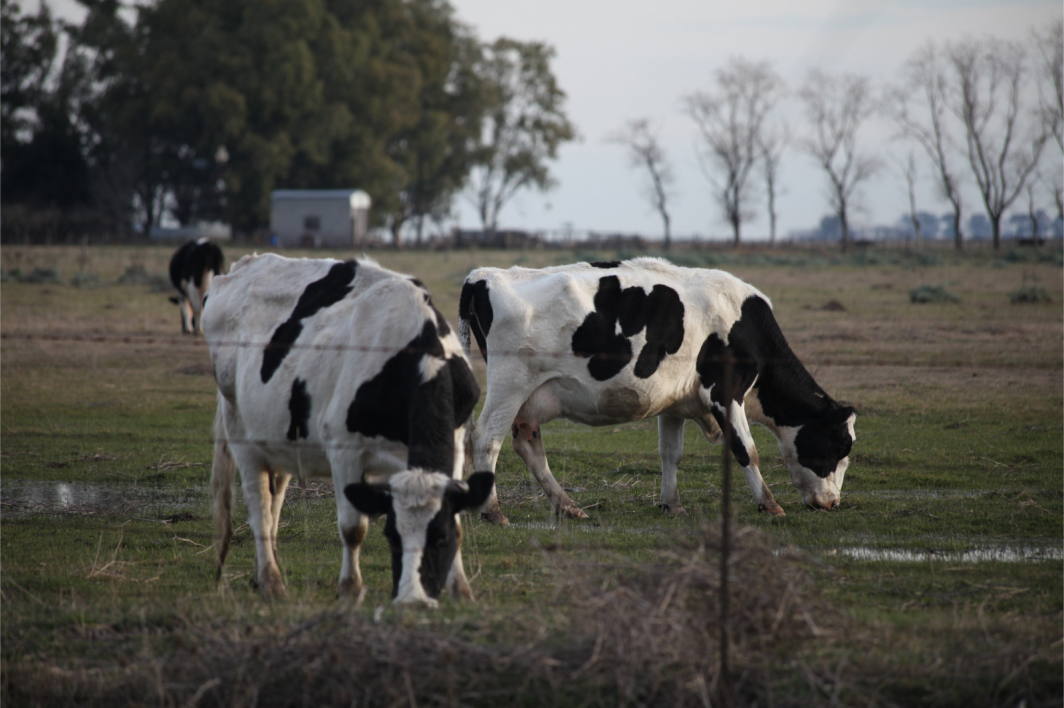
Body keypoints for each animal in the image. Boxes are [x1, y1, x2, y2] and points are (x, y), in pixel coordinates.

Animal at [204, 253, 494, 606]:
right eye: (392, 538)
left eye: (439, 539)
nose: (413, 598)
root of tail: (244, 264)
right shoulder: (344, 450)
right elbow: (353, 528)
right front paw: (350, 588)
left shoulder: (455, 443)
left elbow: (457, 520)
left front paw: (461, 588)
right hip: (240, 430)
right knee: (259, 506)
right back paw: (272, 582)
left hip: (280, 435)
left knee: (274, 502)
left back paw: (265, 573)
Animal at [458, 257, 856, 522]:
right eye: (840, 446)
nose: (832, 503)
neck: (747, 326)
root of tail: (484, 275)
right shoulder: (725, 392)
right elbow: (747, 450)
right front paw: (770, 504)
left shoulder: (675, 403)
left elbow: (670, 454)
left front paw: (672, 504)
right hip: (510, 385)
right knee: (486, 439)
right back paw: (493, 512)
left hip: (528, 399)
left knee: (528, 444)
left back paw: (568, 506)